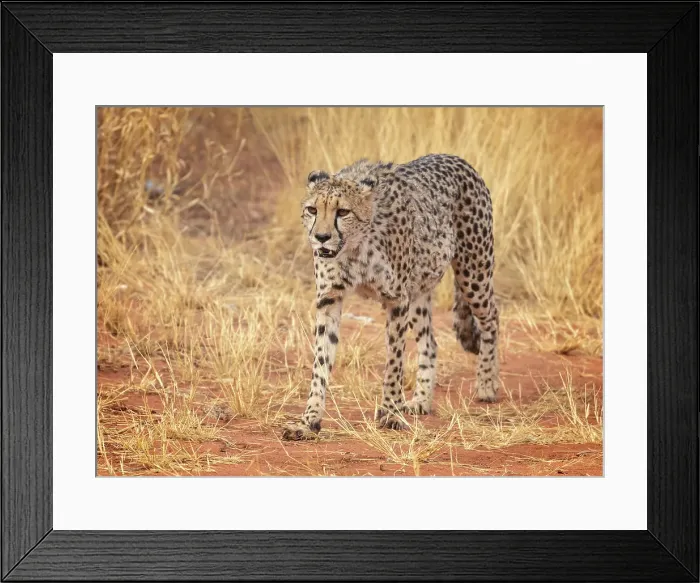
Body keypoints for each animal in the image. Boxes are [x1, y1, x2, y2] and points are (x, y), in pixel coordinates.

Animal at [282, 153, 499, 440]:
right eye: (312, 210)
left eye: (343, 212)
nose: (321, 237)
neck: (354, 247)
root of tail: (455, 158)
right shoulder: (330, 298)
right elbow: (320, 362)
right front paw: (309, 421)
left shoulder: (396, 300)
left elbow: (394, 362)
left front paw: (390, 413)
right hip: (419, 291)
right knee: (430, 342)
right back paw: (421, 400)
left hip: (473, 271)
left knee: (491, 317)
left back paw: (486, 383)